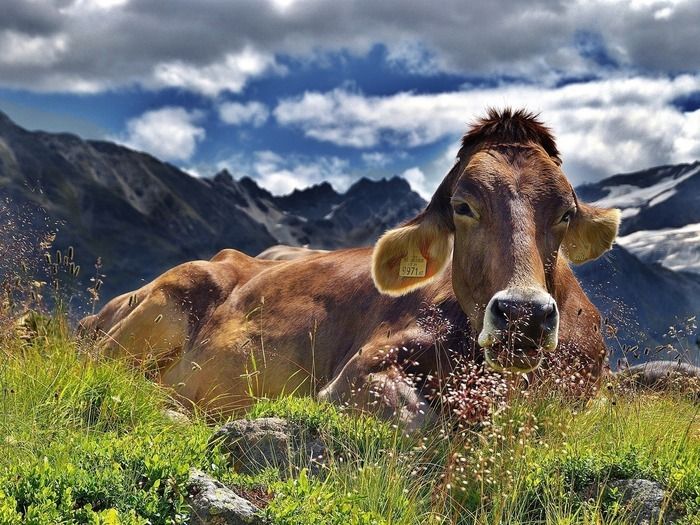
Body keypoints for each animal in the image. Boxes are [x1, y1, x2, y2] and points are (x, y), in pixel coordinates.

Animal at [79, 108, 620, 428]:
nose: (523, 315)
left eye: (565, 212)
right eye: (463, 206)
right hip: (165, 300)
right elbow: (417, 420)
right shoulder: (356, 373)